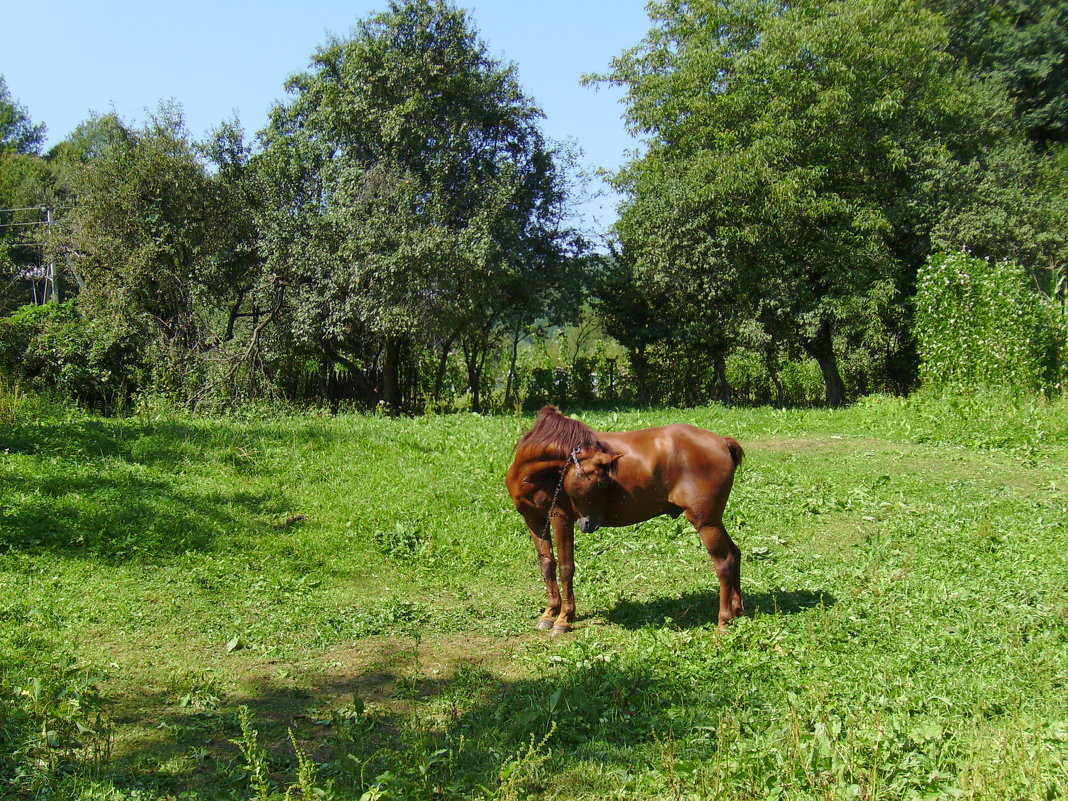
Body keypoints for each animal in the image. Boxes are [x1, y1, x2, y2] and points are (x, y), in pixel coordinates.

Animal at [506, 407, 743, 640]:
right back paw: (737, 612)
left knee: (723, 563)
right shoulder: (534, 521)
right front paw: (549, 613)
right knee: (734, 554)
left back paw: (723, 622)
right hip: (714, 521)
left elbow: (566, 568)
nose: (590, 523)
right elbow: (547, 565)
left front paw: (564, 619)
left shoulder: (560, 518)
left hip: (706, 523)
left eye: (604, 482)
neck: (534, 474)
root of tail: (723, 442)